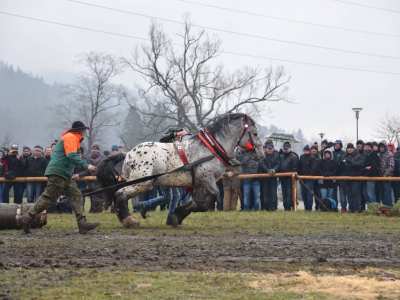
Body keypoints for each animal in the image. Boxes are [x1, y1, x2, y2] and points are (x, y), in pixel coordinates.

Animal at [96, 113, 266, 229]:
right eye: (255, 133)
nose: (261, 155)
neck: (210, 149)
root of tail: (128, 154)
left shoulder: (198, 183)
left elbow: (198, 202)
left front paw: (178, 215)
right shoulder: (207, 178)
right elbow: (211, 199)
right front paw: (179, 213)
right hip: (141, 183)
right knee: (120, 195)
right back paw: (129, 220)